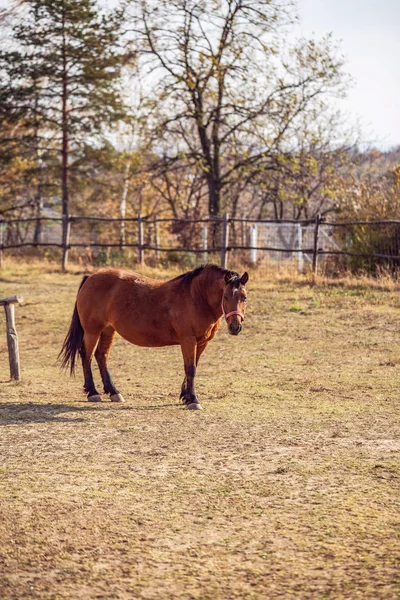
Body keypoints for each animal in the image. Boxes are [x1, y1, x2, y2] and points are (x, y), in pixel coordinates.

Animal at [59, 264, 248, 410]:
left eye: (244, 297)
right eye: (225, 296)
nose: (235, 327)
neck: (195, 297)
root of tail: (91, 277)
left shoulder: (201, 343)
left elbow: (193, 367)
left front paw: (185, 396)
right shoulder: (188, 340)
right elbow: (190, 369)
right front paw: (193, 400)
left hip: (108, 329)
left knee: (101, 356)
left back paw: (114, 392)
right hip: (92, 331)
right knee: (87, 356)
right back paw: (93, 392)